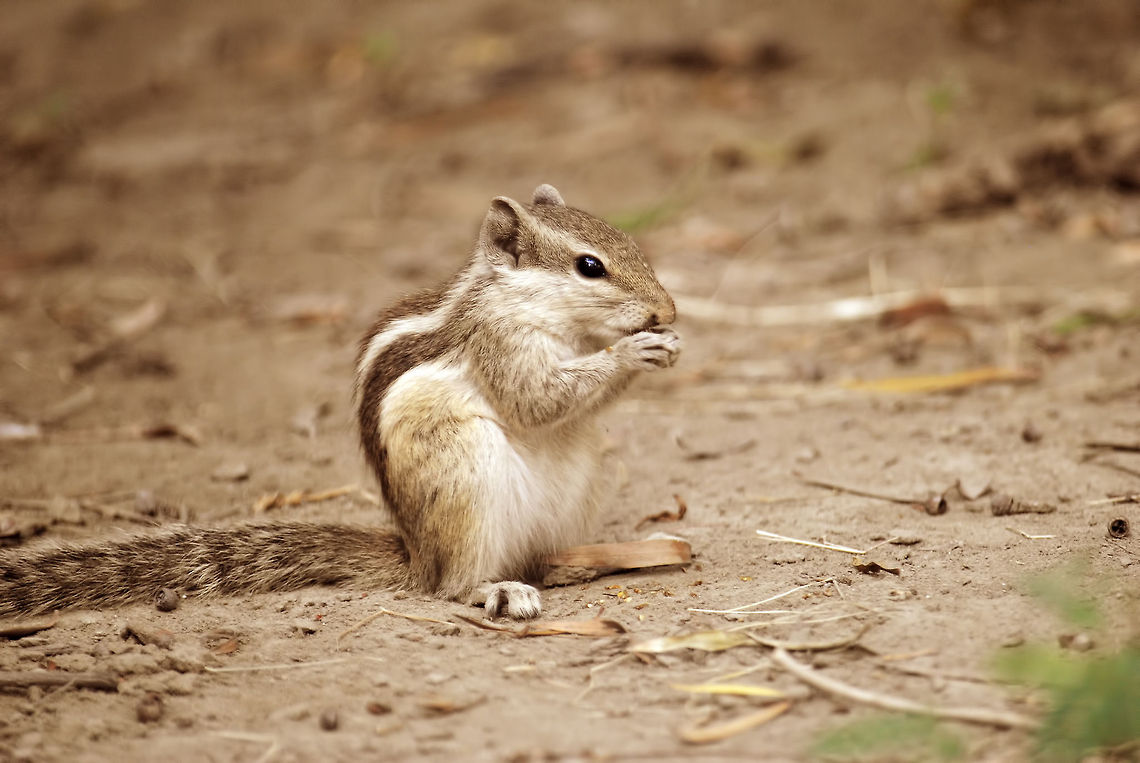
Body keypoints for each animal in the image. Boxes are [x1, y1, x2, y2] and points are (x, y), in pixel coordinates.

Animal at [0, 184, 681, 620]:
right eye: (590, 266)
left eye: (630, 242)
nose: (668, 311)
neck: (525, 304)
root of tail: (417, 554)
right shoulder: (499, 345)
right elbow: (535, 400)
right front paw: (633, 352)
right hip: (465, 477)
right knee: (450, 585)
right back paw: (495, 591)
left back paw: (581, 561)